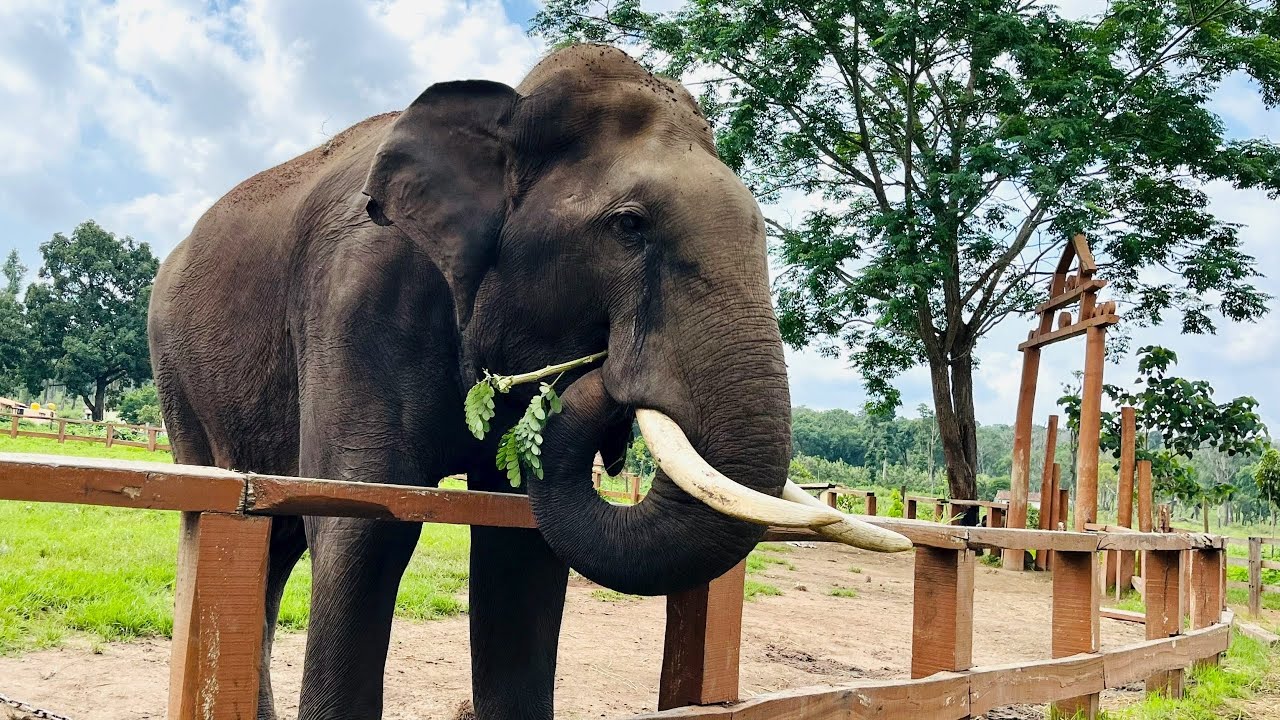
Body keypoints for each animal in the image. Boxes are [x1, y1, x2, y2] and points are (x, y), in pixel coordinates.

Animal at [148, 43, 903, 720]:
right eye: (629, 225)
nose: (603, 369)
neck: (507, 110)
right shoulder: (356, 299)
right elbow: (364, 522)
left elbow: (523, 545)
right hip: (177, 374)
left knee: (275, 540)